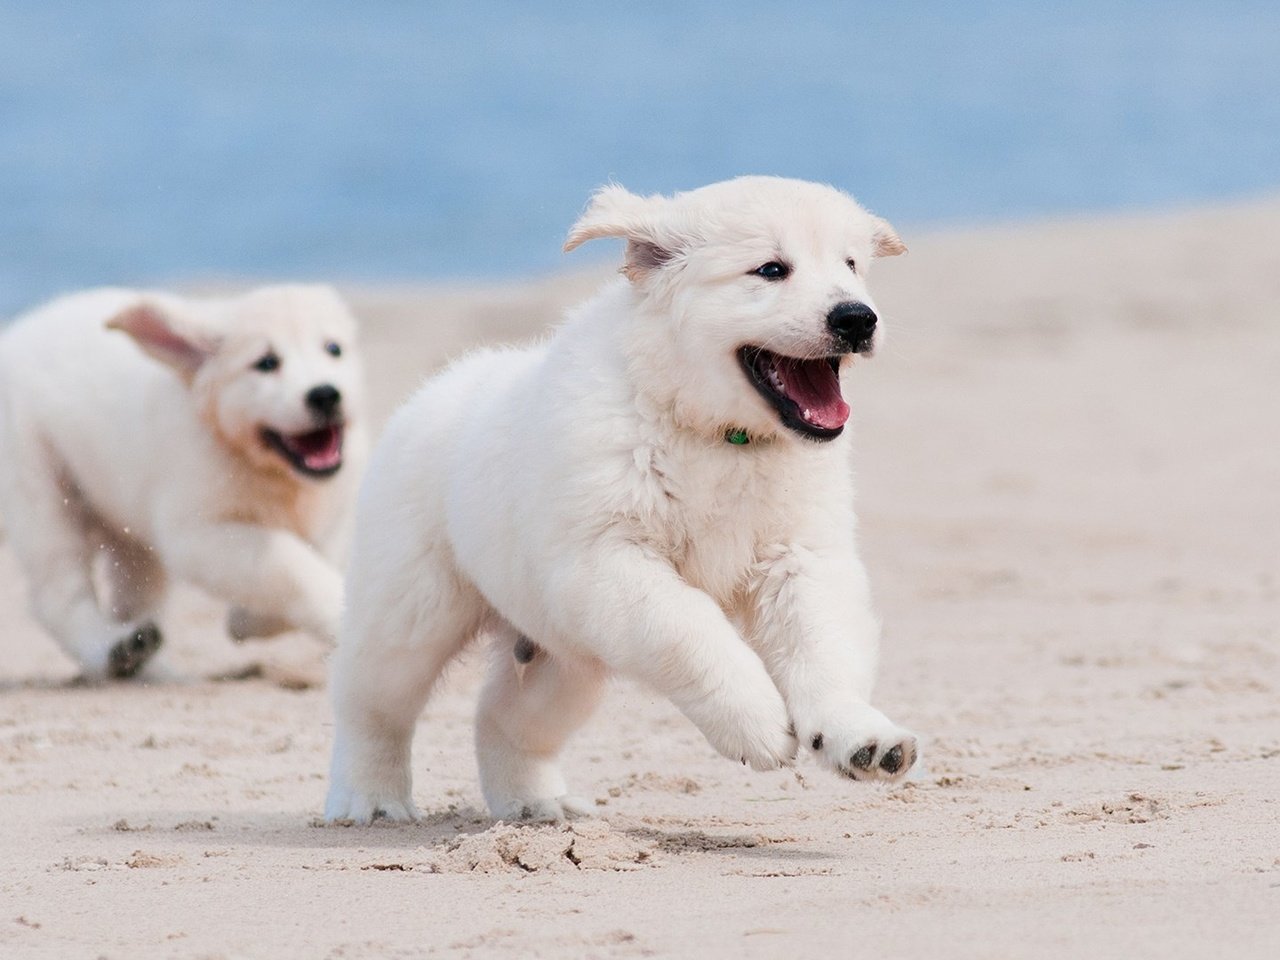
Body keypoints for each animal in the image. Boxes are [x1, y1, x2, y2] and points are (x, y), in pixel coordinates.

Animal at [0, 284, 368, 675]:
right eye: (266, 363)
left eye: (333, 349)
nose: (325, 394)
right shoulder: (196, 532)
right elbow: (292, 565)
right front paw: (331, 614)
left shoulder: (338, 511)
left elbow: (320, 556)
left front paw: (247, 621)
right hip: (37, 484)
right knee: (58, 591)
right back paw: (110, 648)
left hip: (127, 524)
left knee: (133, 593)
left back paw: (145, 660)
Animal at [325, 180, 916, 829]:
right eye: (770, 269)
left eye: (851, 265)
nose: (858, 318)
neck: (715, 436)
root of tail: (434, 390)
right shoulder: (605, 560)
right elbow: (691, 629)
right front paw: (756, 722)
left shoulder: (801, 556)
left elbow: (822, 643)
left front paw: (860, 736)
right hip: (412, 607)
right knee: (371, 701)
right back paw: (370, 799)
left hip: (563, 655)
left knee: (504, 717)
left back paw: (538, 804)